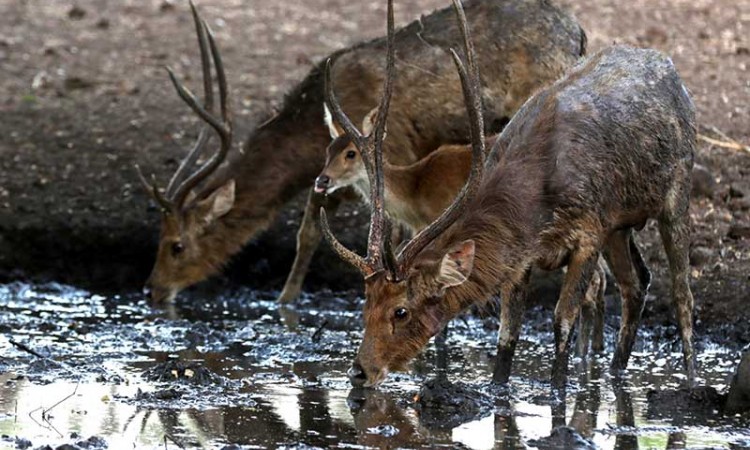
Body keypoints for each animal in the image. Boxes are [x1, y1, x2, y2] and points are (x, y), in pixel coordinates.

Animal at [137, 0, 592, 304]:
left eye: (176, 245)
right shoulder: (330, 171)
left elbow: (389, 232)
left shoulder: (389, 151)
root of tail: (580, 34)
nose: (153, 289)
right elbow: (308, 232)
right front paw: (286, 305)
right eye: (158, 236)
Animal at [326, 0, 704, 386]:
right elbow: (508, 332)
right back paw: (614, 372)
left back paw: (690, 378)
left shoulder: (589, 234)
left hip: (677, 191)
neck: (536, 201)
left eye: (400, 311)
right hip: (620, 224)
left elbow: (562, 320)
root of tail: (670, 68)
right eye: (366, 302)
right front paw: (498, 387)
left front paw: (558, 392)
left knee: (682, 293)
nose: (359, 371)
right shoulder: (523, 255)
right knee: (636, 283)